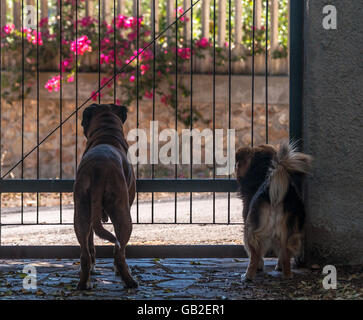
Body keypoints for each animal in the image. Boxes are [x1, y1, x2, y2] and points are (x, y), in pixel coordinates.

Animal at [73, 104, 138, 292]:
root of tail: (98, 169)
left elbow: (91, 245)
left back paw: (84, 283)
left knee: (85, 253)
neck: (106, 136)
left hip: (81, 214)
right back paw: (129, 281)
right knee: (119, 252)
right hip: (123, 215)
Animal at [236, 142, 312, 280]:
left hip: (252, 230)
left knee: (255, 254)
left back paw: (248, 276)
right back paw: (286, 274)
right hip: (290, 232)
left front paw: (260, 266)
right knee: (285, 253)